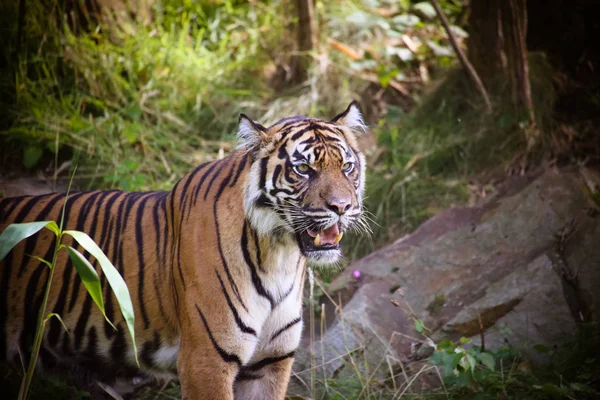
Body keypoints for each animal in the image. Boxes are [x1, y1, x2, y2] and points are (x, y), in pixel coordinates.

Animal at [0, 101, 366, 398]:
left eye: (347, 167)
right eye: (304, 169)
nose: (342, 207)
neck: (280, 255)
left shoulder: (270, 362)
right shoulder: (206, 360)